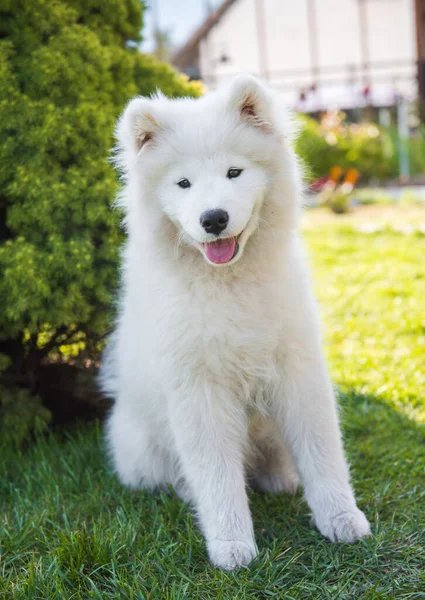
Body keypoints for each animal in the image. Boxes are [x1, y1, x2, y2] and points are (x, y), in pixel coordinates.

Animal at [101, 72, 370, 568]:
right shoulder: (200, 392)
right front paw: (231, 546)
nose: (213, 218)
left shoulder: (297, 370)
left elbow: (323, 452)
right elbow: (217, 476)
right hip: (145, 447)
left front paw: (342, 519)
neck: (229, 283)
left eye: (234, 173)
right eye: (183, 183)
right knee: (179, 475)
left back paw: (281, 477)